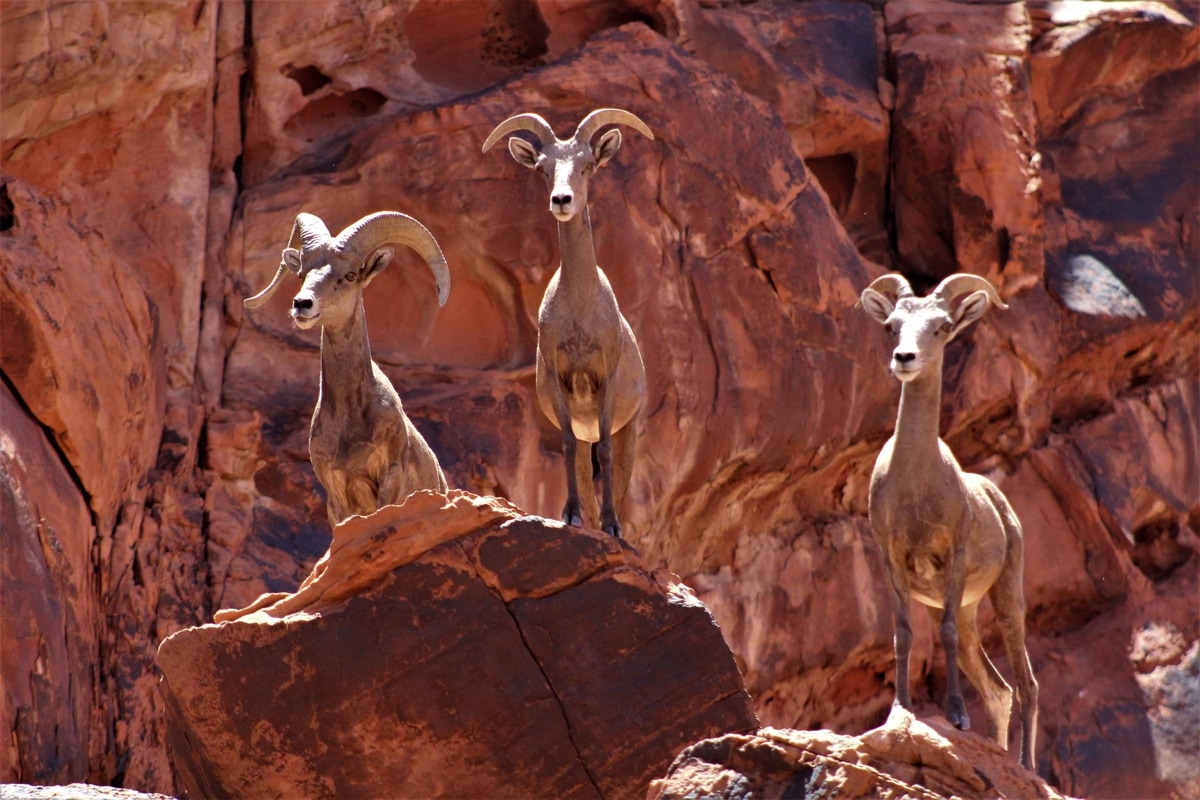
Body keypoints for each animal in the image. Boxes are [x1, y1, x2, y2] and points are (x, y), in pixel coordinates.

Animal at [243, 209, 451, 527]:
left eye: (350, 275)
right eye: (302, 274)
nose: (302, 304)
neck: (351, 418)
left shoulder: (390, 476)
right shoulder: (337, 493)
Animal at [477, 107, 652, 537]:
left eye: (588, 164)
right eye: (543, 168)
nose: (561, 200)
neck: (579, 313)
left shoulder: (607, 381)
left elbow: (605, 453)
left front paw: (611, 527)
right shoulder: (560, 384)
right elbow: (570, 448)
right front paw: (571, 516)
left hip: (630, 429)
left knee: (618, 469)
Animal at [859, 273, 1036, 767]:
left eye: (941, 327)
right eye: (892, 327)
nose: (904, 358)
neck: (917, 486)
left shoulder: (953, 558)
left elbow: (947, 635)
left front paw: (957, 717)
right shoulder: (891, 560)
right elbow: (903, 635)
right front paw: (900, 710)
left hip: (1006, 596)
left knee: (1026, 684)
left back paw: (1026, 767)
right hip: (971, 607)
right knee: (999, 690)